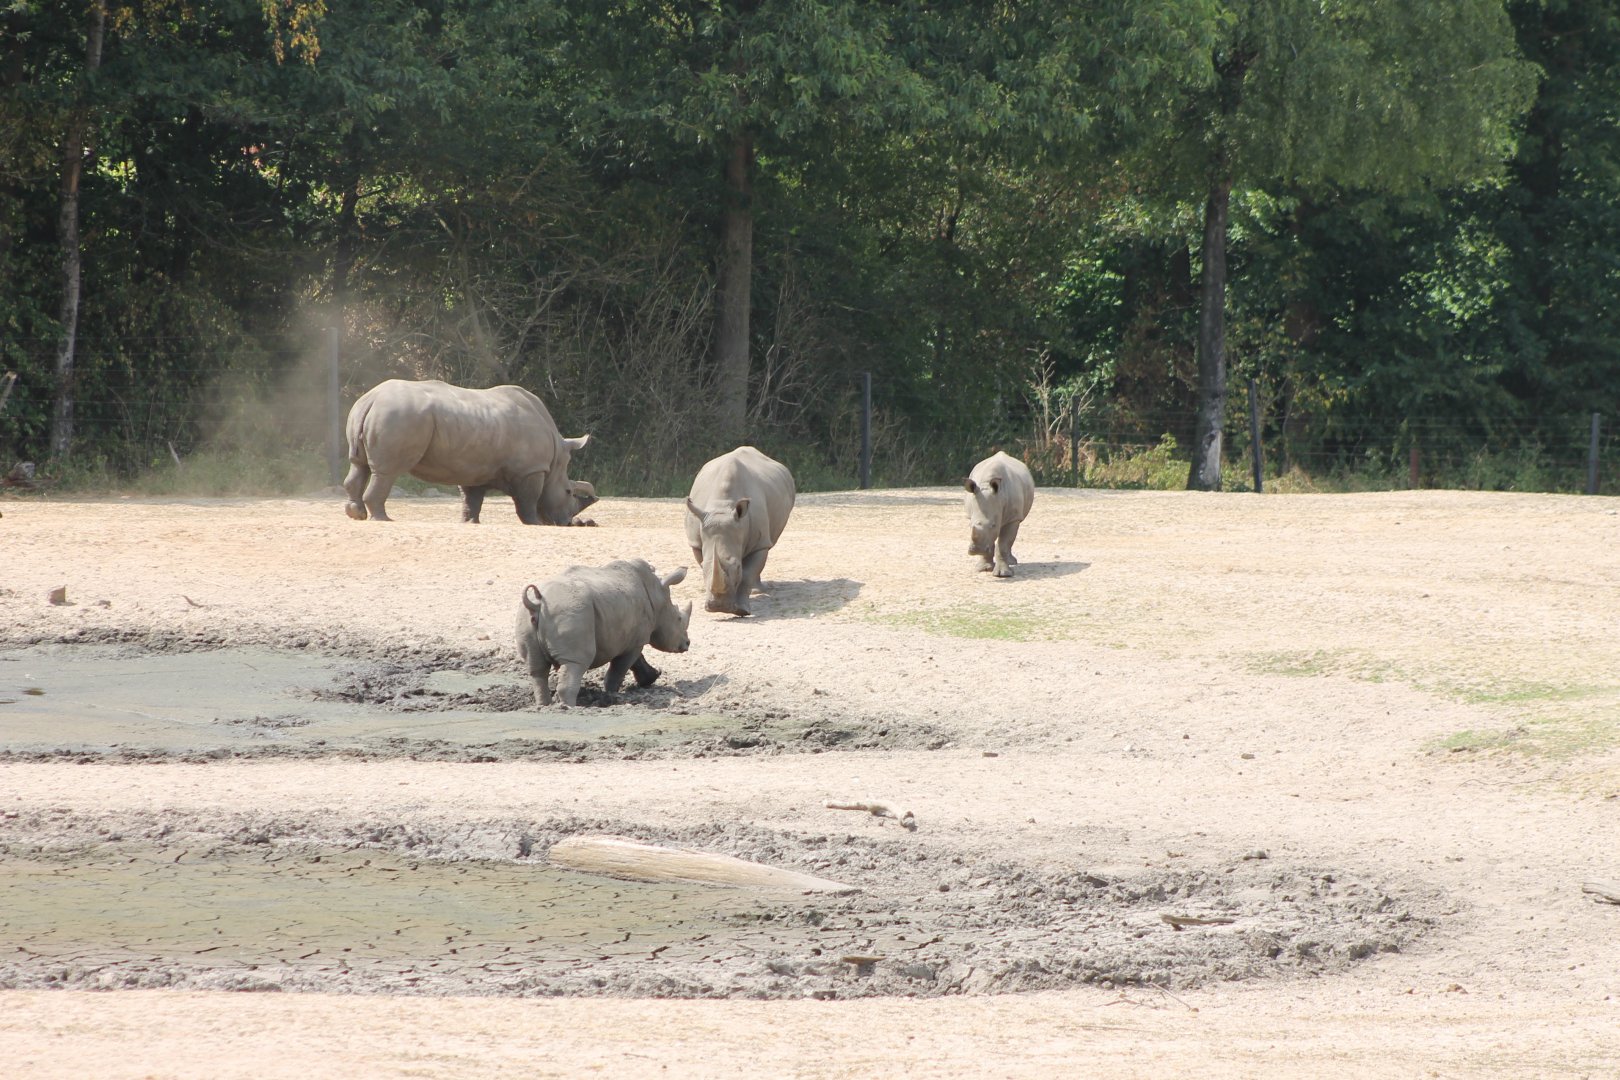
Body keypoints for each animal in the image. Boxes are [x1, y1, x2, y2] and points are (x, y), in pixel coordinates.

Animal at [343, 379, 593, 525]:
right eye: (569, 492)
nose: (566, 522)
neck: (556, 457)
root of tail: (371, 399)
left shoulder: (473, 466)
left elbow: (472, 498)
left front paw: (470, 522)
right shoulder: (531, 470)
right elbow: (529, 500)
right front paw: (535, 524)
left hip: (370, 412)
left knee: (359, 464)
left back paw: (356, 514)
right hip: (399, 415)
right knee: (386, 472)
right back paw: (383, 519)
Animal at [516, 559, 692, 707]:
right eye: (678, 619)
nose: (687, 644)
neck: (657, 596)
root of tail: (537, 604)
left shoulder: (628, 636)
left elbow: (636, 661)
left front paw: (652, 677)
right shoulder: (637, 641)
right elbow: (620, 668)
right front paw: (611, 694)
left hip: (526, 617)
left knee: (537, 670)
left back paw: (544, 706)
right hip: (572, 613)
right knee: (576, 663)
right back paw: (570, 708)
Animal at [684, 446, 795, 616]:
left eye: (737, 568)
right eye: (704, 568)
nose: (718, 607)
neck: (722, 506)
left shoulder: (760, 542)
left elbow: (748, 573)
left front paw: (742, 610)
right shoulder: (696, 541)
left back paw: (757, 591)